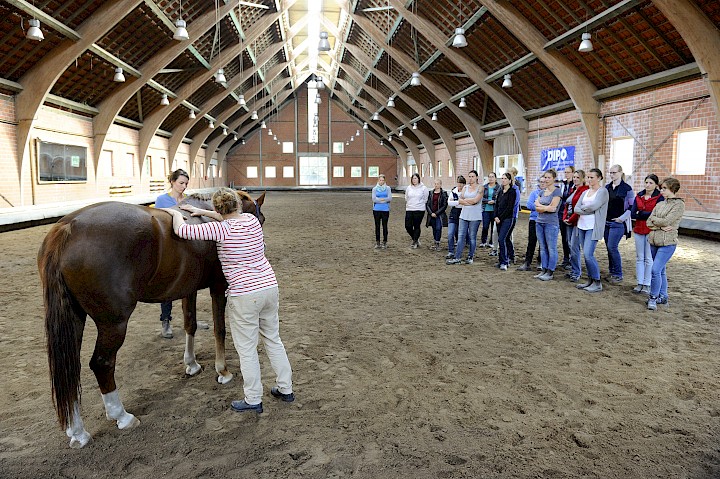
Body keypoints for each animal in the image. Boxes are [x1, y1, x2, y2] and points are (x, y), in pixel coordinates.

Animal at [36, 192, 264, 450]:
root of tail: (67, 228)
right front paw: (223, 372)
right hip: (113, 323)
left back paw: (78, 432)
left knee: (70, 368)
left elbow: (190, 324)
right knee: (102, 363)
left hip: (74, 318)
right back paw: (122, 416)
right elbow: (219, 329)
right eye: (261, 218)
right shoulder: (218, 286)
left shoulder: (188, 289)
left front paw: (192, 365)